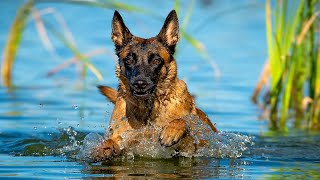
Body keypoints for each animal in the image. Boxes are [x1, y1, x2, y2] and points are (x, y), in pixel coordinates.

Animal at [92, 9, 218, 162]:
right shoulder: (123, 139)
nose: (140, 83)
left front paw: (171, 131)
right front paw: (103, 148)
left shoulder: (190, 147)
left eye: (156, 60)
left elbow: (183, 122)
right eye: (129, 60)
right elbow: (111, 141)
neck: (149, 110)